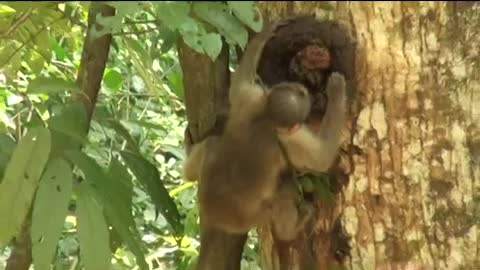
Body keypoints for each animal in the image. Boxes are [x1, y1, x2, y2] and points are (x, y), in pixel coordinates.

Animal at [183, 22, 312, 234]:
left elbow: (239, 82)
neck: (267, 116)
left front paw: (263, 36)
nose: (304, 90)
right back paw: (294, 227)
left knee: (208, 146)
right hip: (248, 218)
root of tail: (212, 213)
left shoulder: (248, 97)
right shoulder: (288, 147)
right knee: (285, 191)